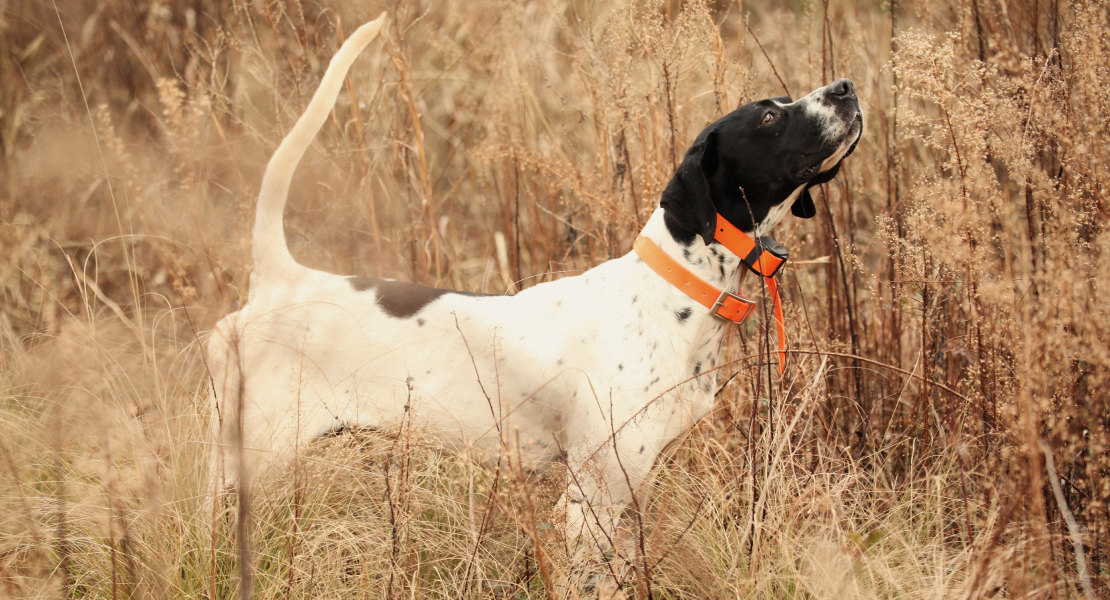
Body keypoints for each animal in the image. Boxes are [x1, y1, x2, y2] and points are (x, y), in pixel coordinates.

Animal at [208, 12, 861, 594]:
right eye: (770, 116)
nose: (847, 87)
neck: (674, 295)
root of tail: (280, 278)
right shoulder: (591, 496)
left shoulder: (634, 486)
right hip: (245, 464)